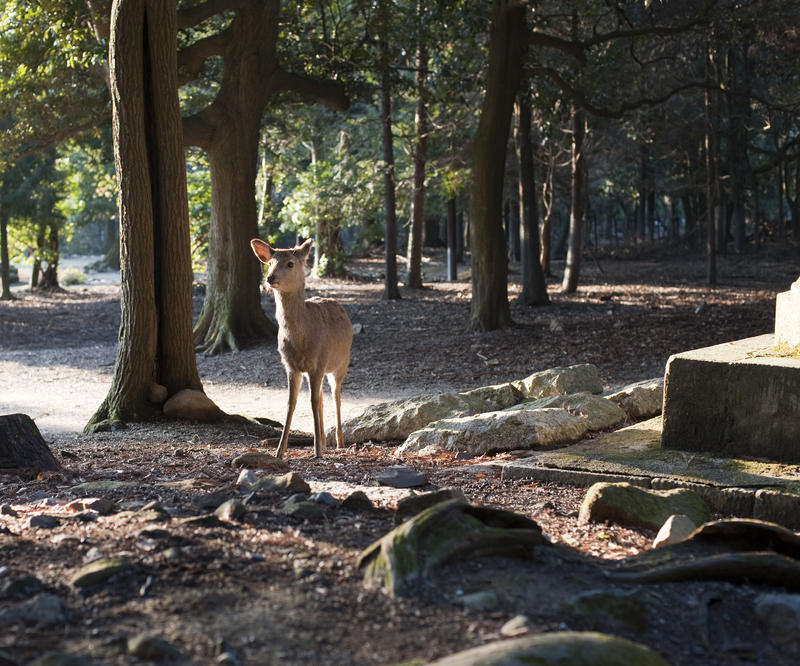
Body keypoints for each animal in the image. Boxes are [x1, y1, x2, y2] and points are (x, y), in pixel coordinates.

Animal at [248, 236, 352, 460]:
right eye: (270, 262)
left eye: (290, 263)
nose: (269, 278)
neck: (302, 342)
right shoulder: (290, 366)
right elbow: (291, 403)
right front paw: (279, 451)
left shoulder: (319, 362)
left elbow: (312, 401)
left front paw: (317, 452)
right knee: (321, 398)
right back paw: (324, 441)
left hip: (341, 363)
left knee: (336, 395)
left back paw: (339, 442)